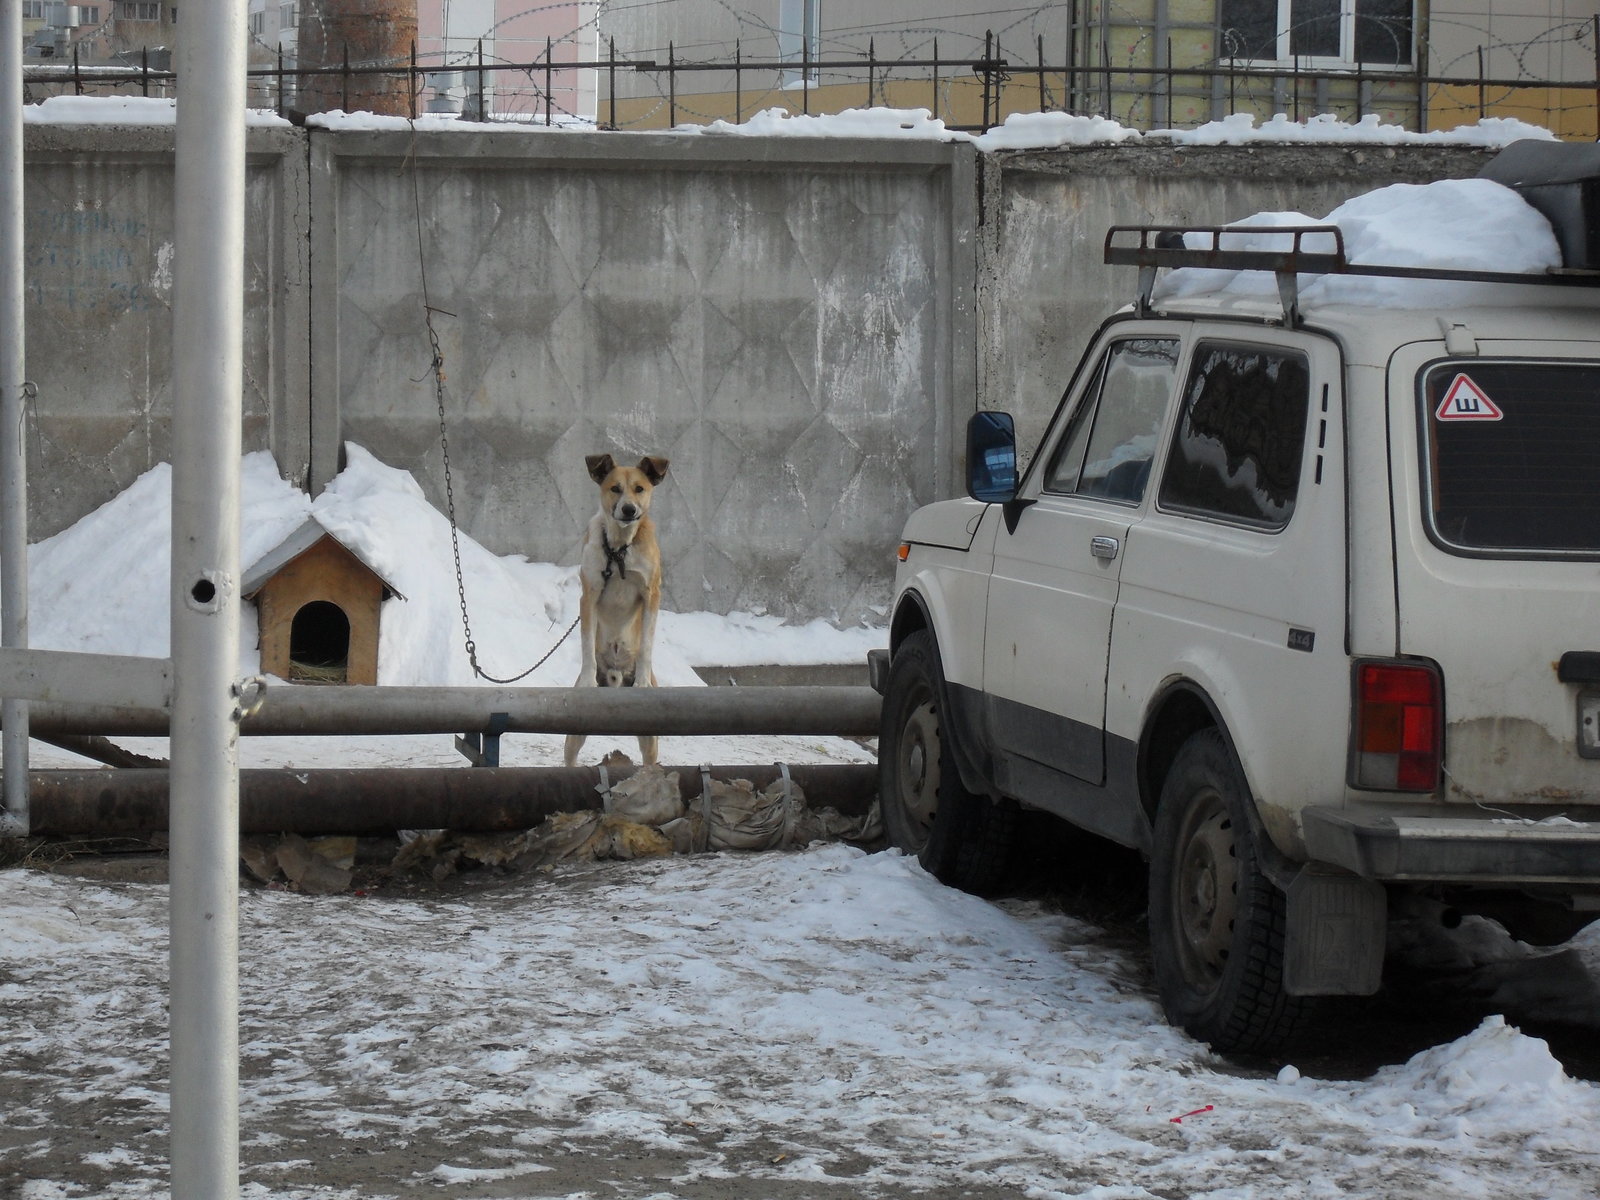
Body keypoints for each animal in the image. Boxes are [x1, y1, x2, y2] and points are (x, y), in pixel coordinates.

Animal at [563, 451, 668, 771]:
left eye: (640, 489)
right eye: (615, 489)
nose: (629, 509)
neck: (620, 549)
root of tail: (616, 680)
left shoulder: (651, 594)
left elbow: (647, 645)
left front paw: (643, 681)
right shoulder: (589, 595)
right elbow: (586, 643)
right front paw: (587, 679)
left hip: (650, 737)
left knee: (649, 759)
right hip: (574, 735)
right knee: (570, 756)